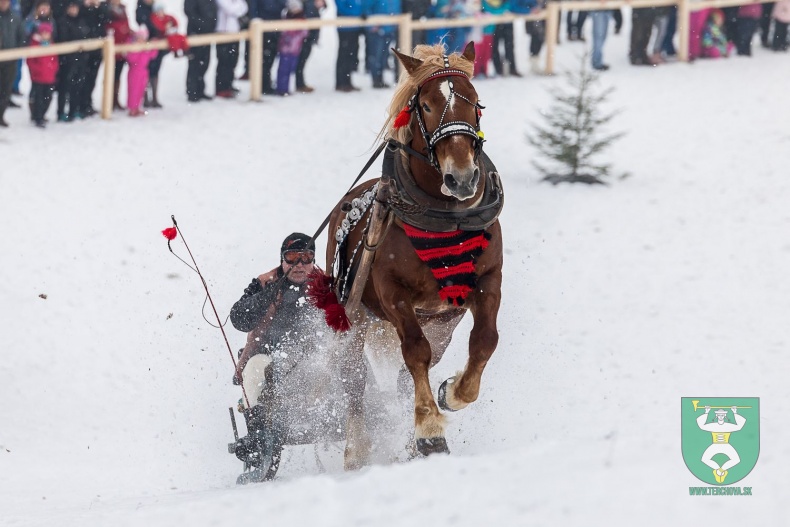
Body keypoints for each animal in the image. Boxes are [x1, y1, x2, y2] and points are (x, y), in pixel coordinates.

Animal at [320, 42, 502, 470]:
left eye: (476, 102)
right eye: (428, 105)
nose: (462, 178)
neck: (445, 219)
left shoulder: (487, 281)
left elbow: (485, 340)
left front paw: (451, 393)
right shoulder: (393, 294)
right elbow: (415, 352)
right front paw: (430, 431)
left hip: (440, 322)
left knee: (410, 376)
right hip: (355, 314)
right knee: (355, 377)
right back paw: (357, 450)